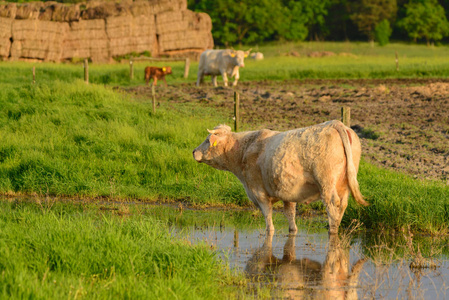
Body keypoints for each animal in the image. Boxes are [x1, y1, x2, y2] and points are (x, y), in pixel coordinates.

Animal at [192, 120, 368, 236]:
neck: (244, 150)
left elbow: (268, 220)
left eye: (207, 140)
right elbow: (291, 216)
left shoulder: (258, 192)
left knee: (332, 205)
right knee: (342, 205)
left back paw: (332, 231)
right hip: (344, 184)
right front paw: (293, 230)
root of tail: (335, 123)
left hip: (326, 183)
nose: (194, 151)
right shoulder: (288, 193)